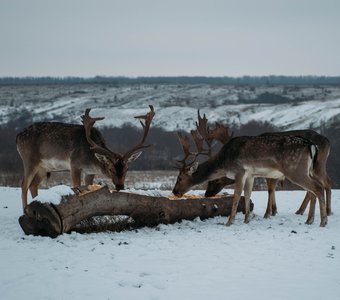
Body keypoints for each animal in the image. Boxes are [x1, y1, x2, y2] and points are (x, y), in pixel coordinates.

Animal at [16, 105, 155, 211]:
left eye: (127, 168)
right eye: (110, 168)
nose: (120, 186)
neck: (91, 159)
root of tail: (17, 137)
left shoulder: (90, 172)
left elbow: (89, 189)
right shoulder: (74, 165)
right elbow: (76, 187)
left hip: (43, 167)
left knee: (33, 185)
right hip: (29, 159)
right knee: (23, 184)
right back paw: (24, 210)